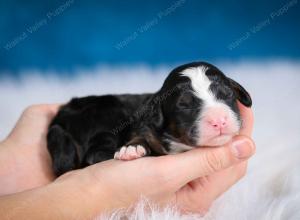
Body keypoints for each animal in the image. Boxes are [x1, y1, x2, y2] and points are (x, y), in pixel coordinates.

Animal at [47, 61, 251, 176]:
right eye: (184, 105)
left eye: (227, 94)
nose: (219, 120)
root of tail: (60, 117)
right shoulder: (142, 127)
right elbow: (139, 136)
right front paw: (131, 149)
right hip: (106, 117)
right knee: (93, 154)